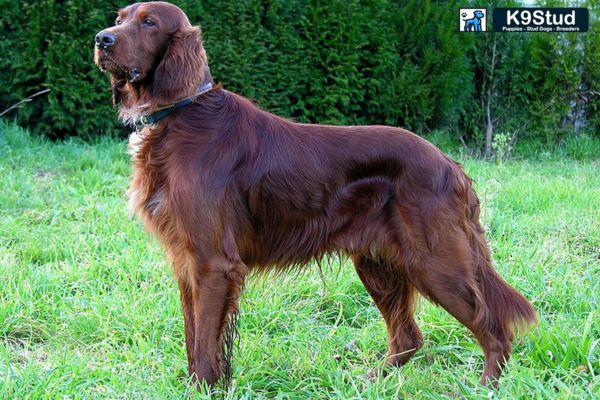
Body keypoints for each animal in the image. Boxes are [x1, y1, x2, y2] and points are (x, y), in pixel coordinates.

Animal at [92, 1, 536, 390]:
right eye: (120, 18)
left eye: (149, 22)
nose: (101, 39)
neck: (181, 115)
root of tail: (449, 164)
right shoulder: (186, 262)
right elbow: (195, 340)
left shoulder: (213, 262)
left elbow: (204, 347)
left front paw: (202, 389)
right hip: (378, 262)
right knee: (408, 336)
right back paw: (371, 379)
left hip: (434, 262)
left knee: (494, 330)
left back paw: (485, 387)